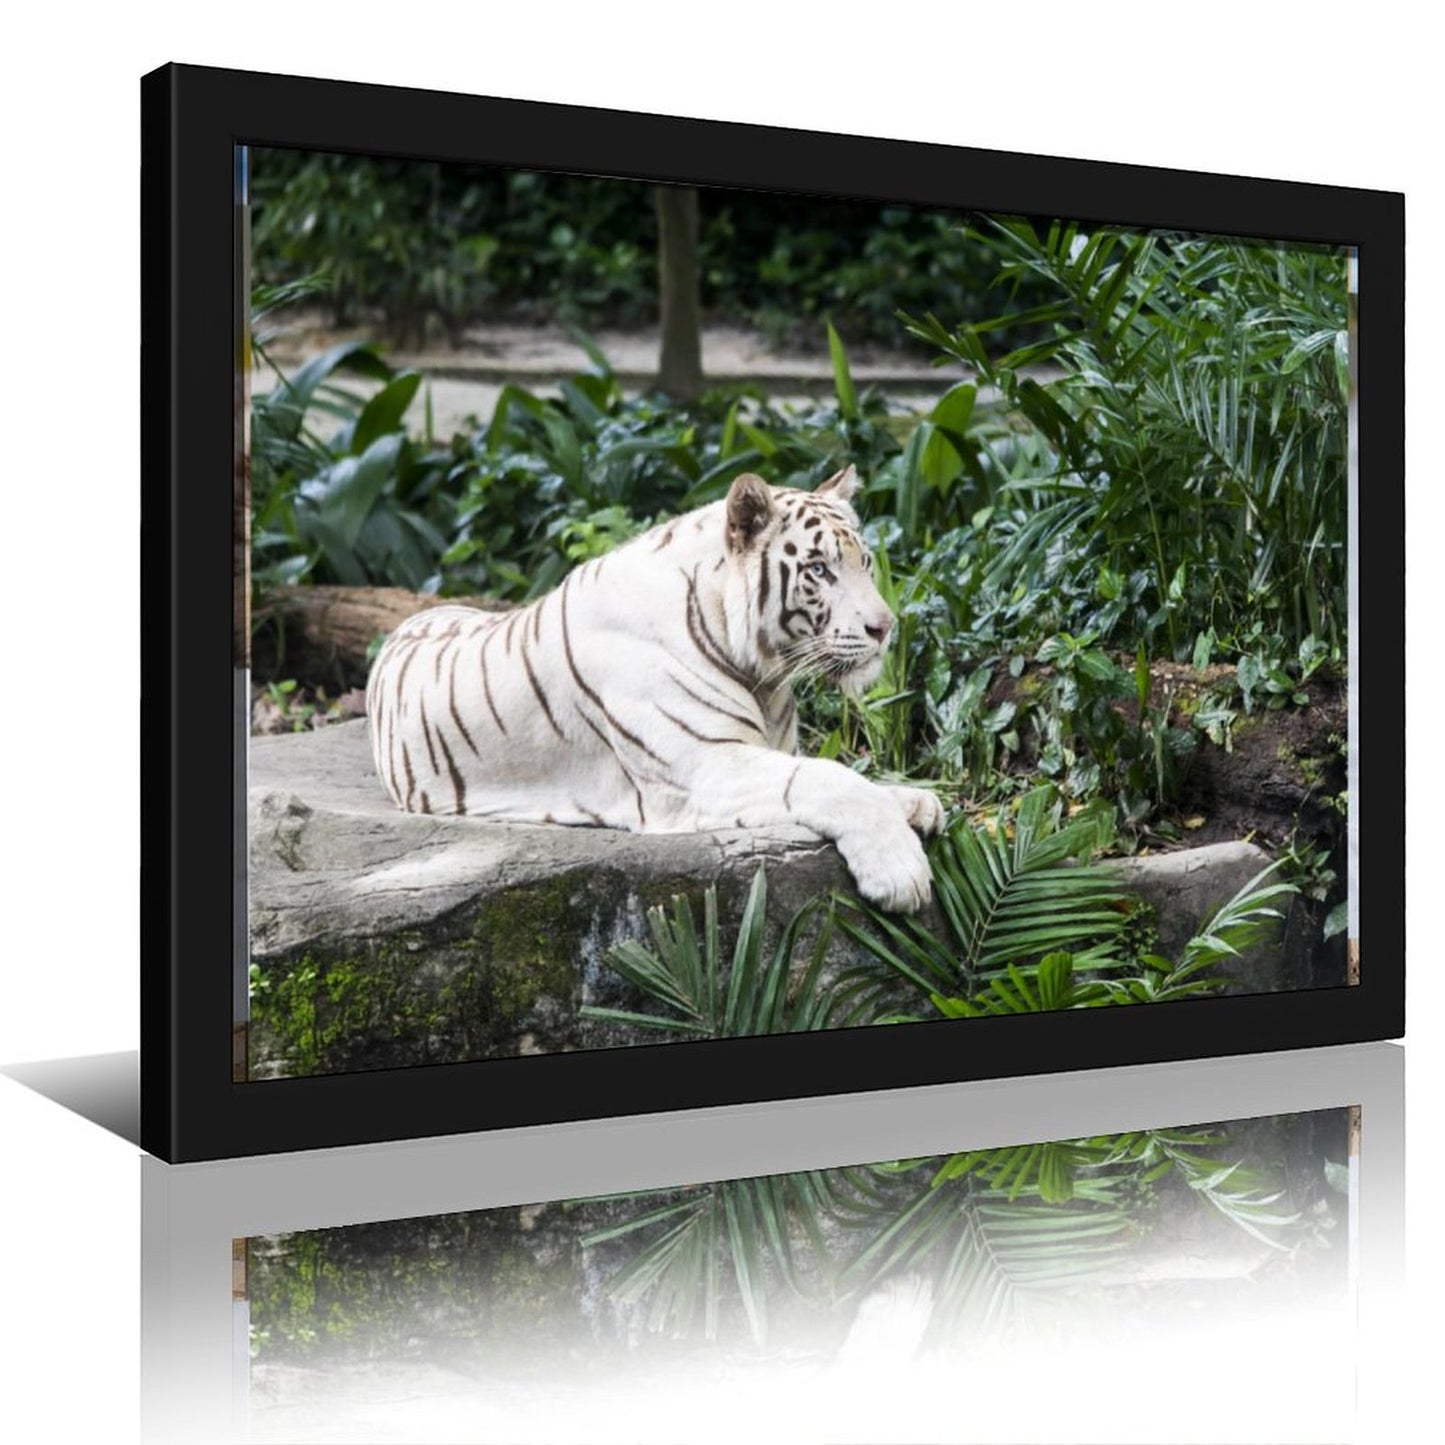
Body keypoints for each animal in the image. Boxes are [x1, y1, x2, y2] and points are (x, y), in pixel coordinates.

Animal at [365, 465, 943, 912]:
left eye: (865, 564)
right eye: (819, 570)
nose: (885, 627)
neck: (760, 674)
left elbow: (849, 775)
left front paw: (917, 802)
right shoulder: (704, 765)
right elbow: (828, 778)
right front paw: (900, 872)